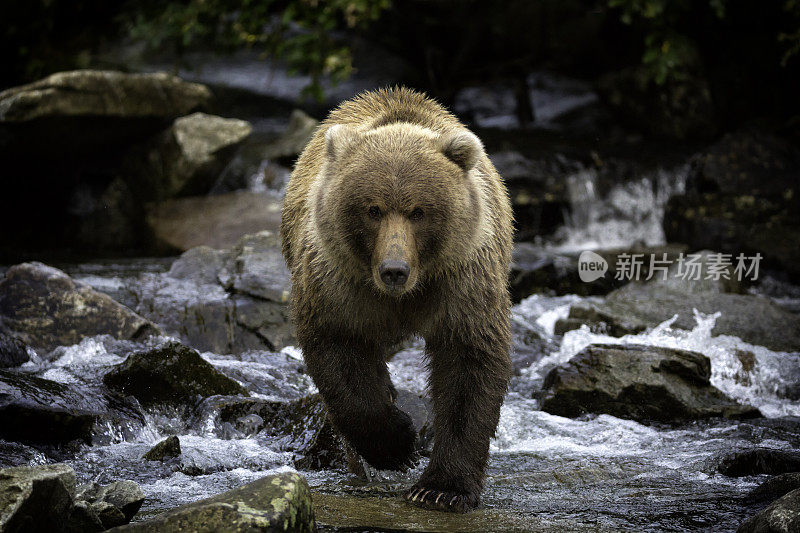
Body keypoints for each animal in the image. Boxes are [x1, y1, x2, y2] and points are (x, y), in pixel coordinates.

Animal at [282, 87, 512, 512]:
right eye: (372, 209)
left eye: (419, 211)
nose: (394, 269)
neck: (406, 296)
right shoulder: (338, 282)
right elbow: (339, 353)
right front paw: (398, 444)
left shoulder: (462, 281)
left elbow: (469, 362)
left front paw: (441, 488)